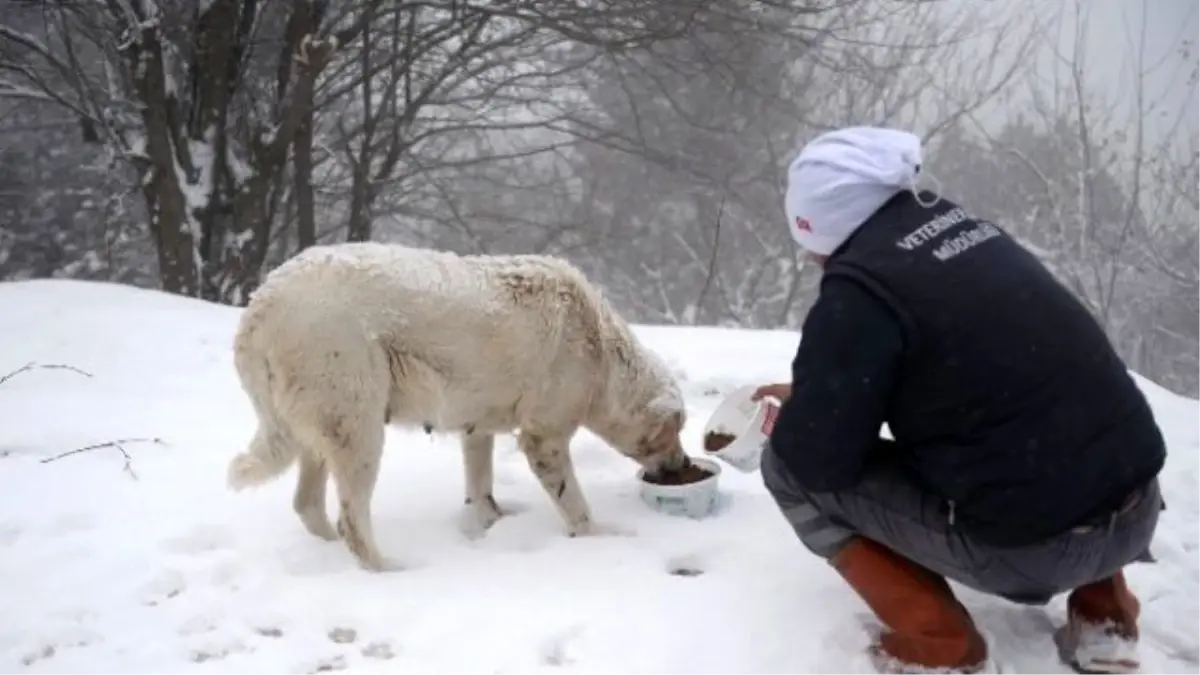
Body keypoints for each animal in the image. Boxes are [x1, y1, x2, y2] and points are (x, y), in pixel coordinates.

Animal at [225, 241, 691, 566]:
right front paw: (597, 537)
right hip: (357, 424)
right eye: (675, 433)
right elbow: (573, 501)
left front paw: (490, 525)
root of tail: (260, 306)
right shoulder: (545, 437)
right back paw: (389, 568)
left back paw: (330, 549)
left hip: (320, 427)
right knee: (352, 519)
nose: (684, 464)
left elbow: (480, 484)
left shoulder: (477, 425)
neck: (602, 353)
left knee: (307, 504)